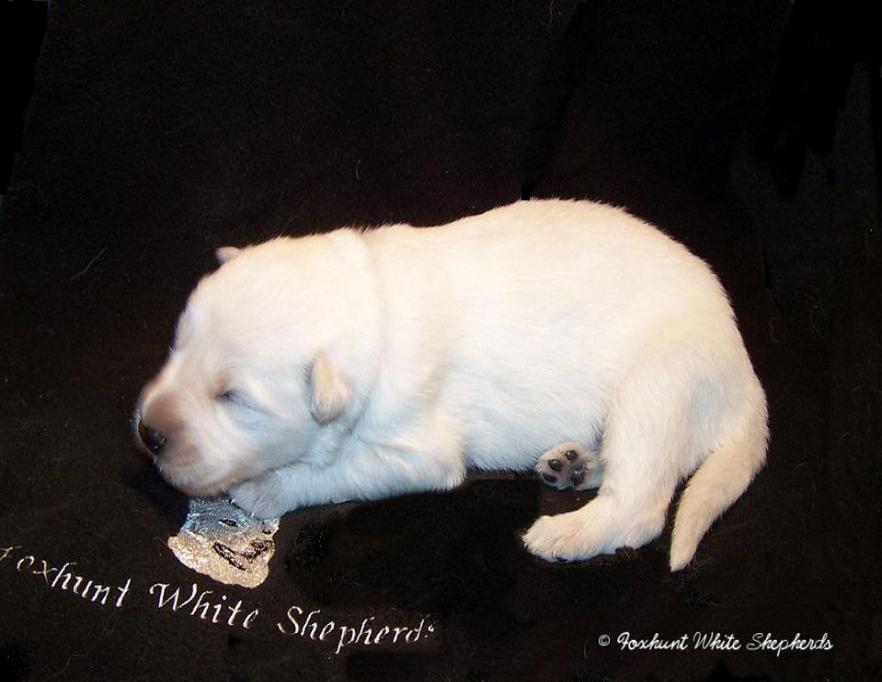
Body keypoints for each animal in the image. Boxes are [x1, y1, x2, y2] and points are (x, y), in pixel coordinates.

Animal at [135, 199, 768, 571]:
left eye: (233, 398)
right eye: (177, 347)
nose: (149, 434)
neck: (374, 304)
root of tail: (746, 378)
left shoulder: (417, 451)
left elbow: (334, 469)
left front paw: (267, 487)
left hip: (658, 387)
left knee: (641, 503)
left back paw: (564, 535)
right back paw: (570, 464)